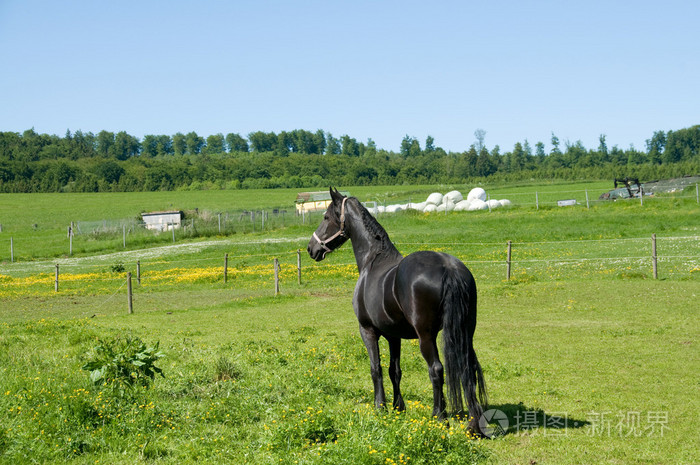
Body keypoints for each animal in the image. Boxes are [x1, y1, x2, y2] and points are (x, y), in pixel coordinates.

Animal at [307, 188, 488, 435]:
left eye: (326, 217)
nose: (311, 249)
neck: (372, 261)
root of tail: (449, 268)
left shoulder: (368, 331)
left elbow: (376, 368)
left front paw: (380, 407)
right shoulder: (394, 336)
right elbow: (395, 370)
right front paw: (398, 407)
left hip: (426, 337)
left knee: (436, 370)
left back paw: (439, 417)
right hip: (465, 331)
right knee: (467, 367)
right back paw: (474, 423)